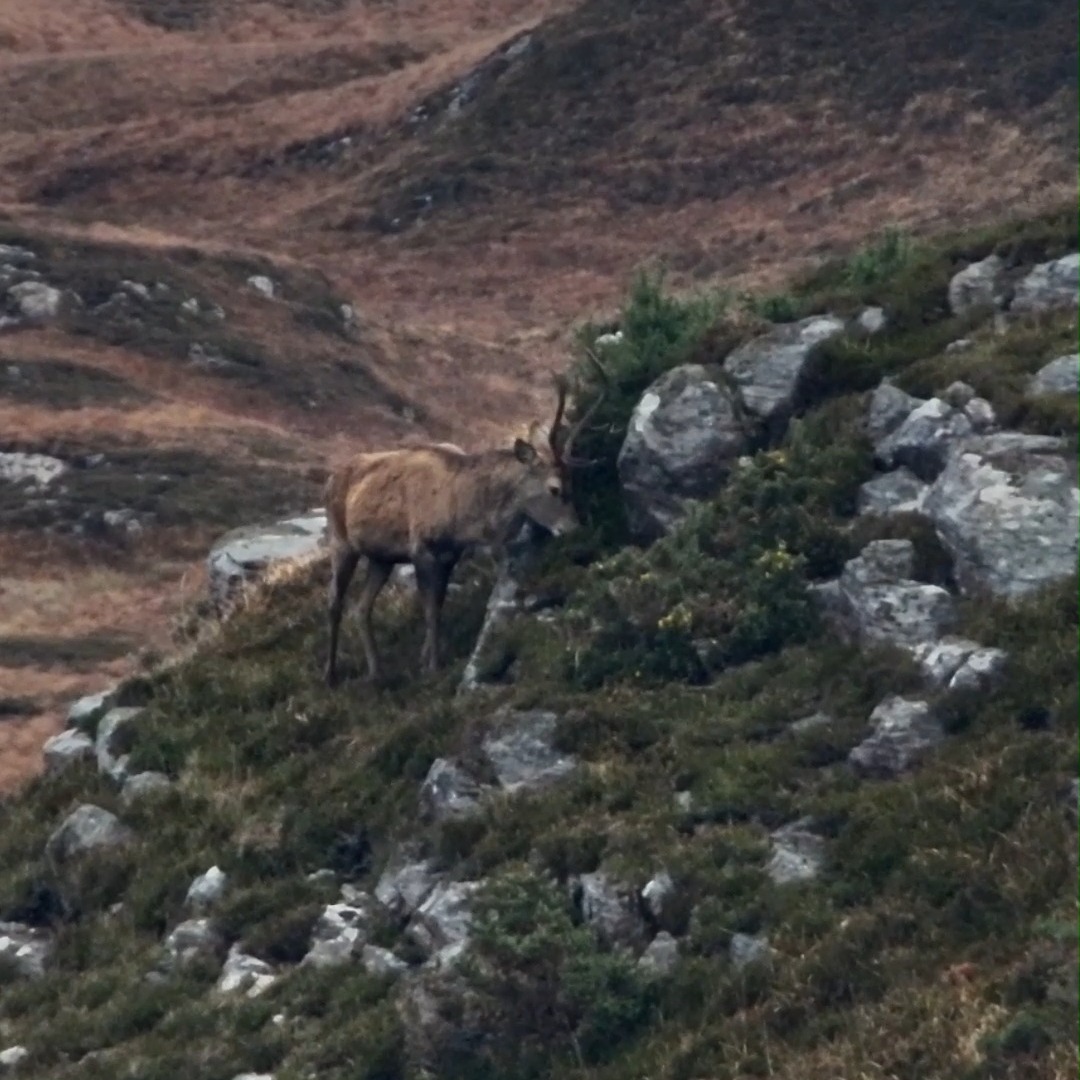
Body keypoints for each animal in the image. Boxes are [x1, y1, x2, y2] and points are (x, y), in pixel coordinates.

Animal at [322, 361, 607, 686]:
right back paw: (330, 674)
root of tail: (329, 481)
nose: (574, 528)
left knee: (361, 607)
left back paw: (376, 672)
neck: (462, 516)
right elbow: (430, 610)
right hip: (341, 541)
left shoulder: (450, 555)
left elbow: (439, 605)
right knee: (334, 602)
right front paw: (432, 665)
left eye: (573, 483)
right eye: (555, 488)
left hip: (382, 557)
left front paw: (427, 659)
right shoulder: (422, 548)